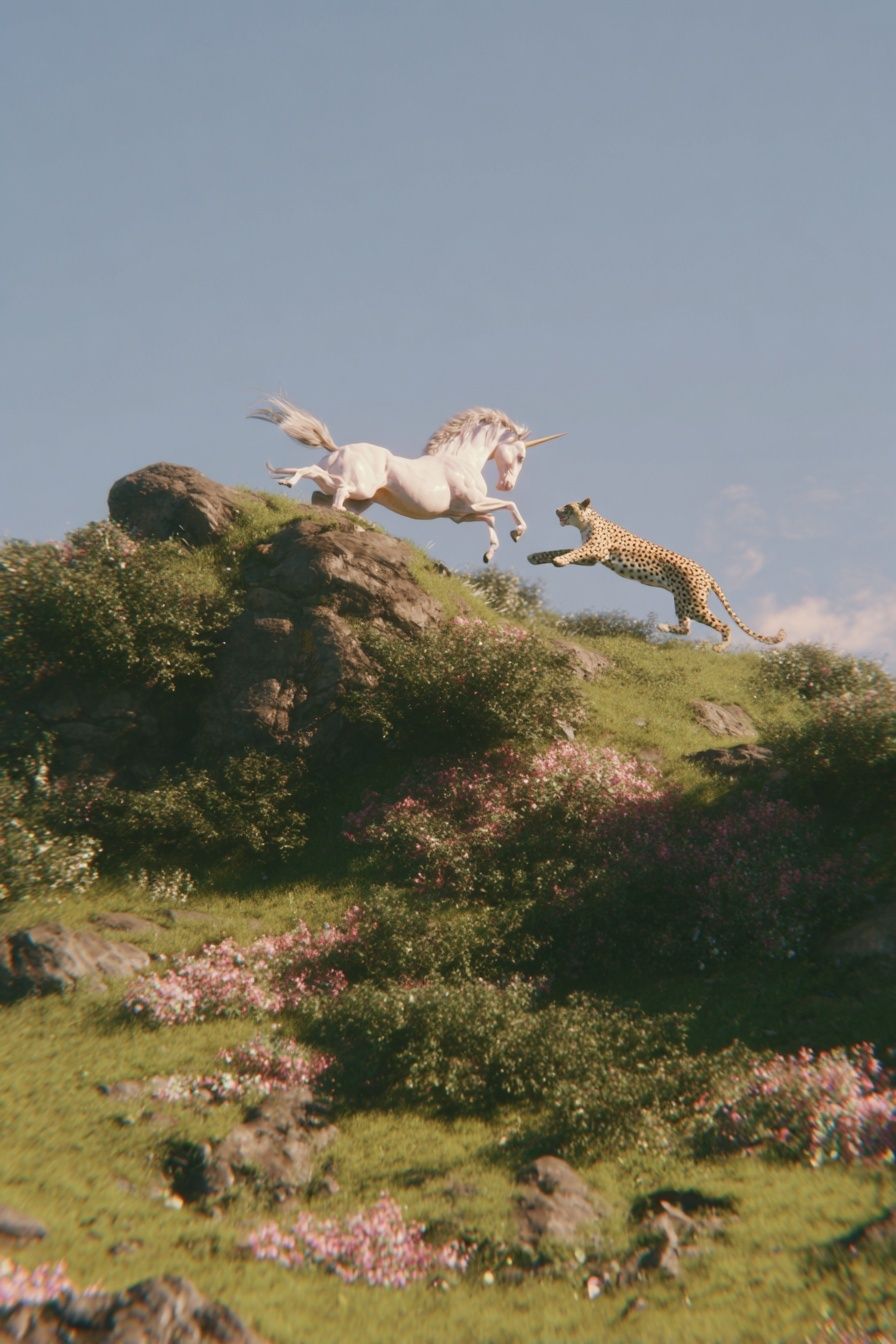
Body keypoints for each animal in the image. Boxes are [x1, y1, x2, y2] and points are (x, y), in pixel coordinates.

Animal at [528, 498, 786, 651]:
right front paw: (537, 557)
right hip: (682, 600)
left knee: (723, 625)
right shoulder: (591, 558)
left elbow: (572, 552)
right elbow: (562, 550)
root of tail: (707, 572)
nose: (556, 510)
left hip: (694, 603)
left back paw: (719, 648)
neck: (586, 522)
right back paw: (662, 628)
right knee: (686, 627)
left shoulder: (596, 551)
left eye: (567, 506)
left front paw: (559, 560)